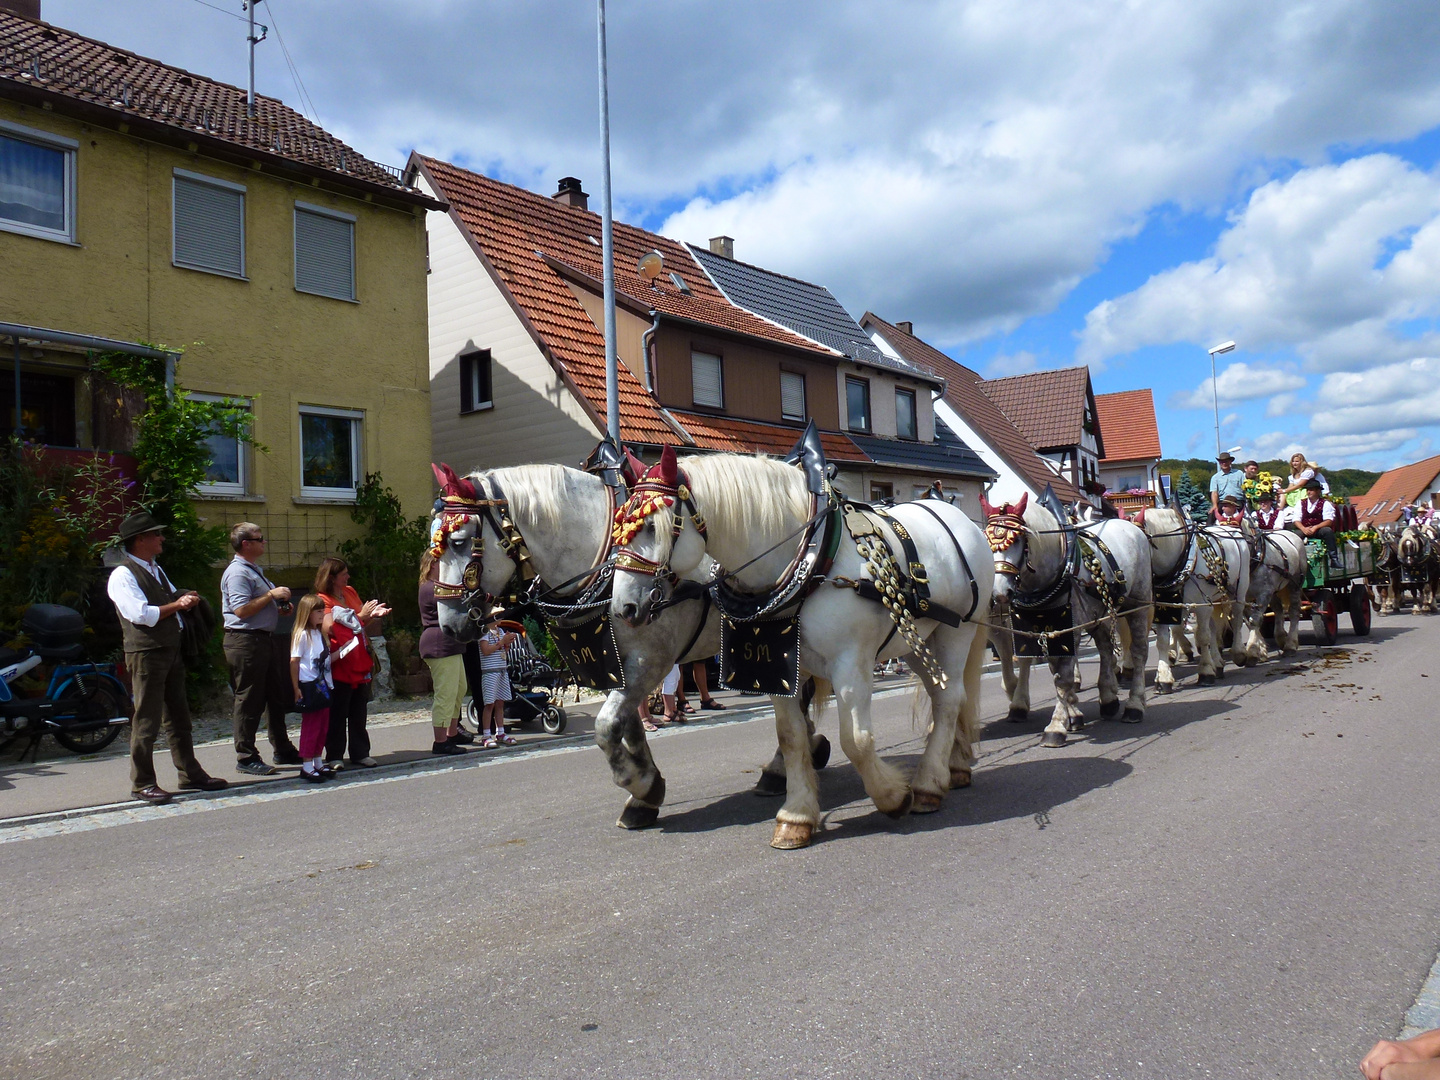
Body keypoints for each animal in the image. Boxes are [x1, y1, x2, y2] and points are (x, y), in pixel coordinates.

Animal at [607, 449, 990, 852]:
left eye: (653, 527)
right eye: (619, 526)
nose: (623, 608)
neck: (811, 559)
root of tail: (962, 521)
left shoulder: (851, 665)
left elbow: (855, 740)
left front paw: (893, 796)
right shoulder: (779, 668)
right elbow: (790, 738)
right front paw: (796, 817)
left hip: (958, 631)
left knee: (949, 699)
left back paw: (928, 784)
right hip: (917, 639)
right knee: (944, 693)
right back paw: (954, 766)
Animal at [979, 495, 1146, 748]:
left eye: (1017, 540)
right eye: (988, 541)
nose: (999, 593)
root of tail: (1130, 527)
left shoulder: (1069, 627)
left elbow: (1063, 677)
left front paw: (1056, 725)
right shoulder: (1044, 627)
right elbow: (1054, 671)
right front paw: (1073, 715)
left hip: (1139, 604)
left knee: (1138, 652)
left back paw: (1135, 705)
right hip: (1096, 614)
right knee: (1106, 648)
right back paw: (1108, 699)